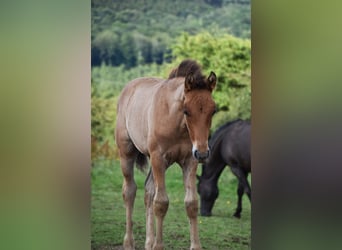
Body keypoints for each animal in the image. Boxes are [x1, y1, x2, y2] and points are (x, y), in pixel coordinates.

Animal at [115, 59, 216, 249]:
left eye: (213, 111)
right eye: (186, 111)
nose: (203, 153)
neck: (176, 123)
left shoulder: (189, 161)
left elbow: (191, 203)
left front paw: (195, 246)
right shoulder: (158, 158)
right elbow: (161, 203)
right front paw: (158, 245)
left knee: (148, 192)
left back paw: (148, 242)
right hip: (127, 153)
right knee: (130, 191)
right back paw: (129, 242)